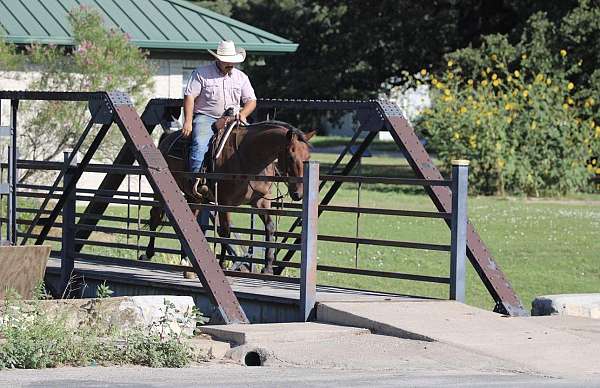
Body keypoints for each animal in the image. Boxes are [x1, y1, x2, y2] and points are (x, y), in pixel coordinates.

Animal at [139, 119, 316, 274]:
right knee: (155, 216)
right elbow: (226, 231)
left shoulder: (260, 201)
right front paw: (222, 263)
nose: (298, 194)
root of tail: (167, 138)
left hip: (193, 196)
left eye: (308, 158)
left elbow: (270, 228)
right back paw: (147, 254)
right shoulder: (225, 203)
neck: (248, 156)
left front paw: (268, 267)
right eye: (291, 157)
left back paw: (185, 259)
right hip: (161, 190)